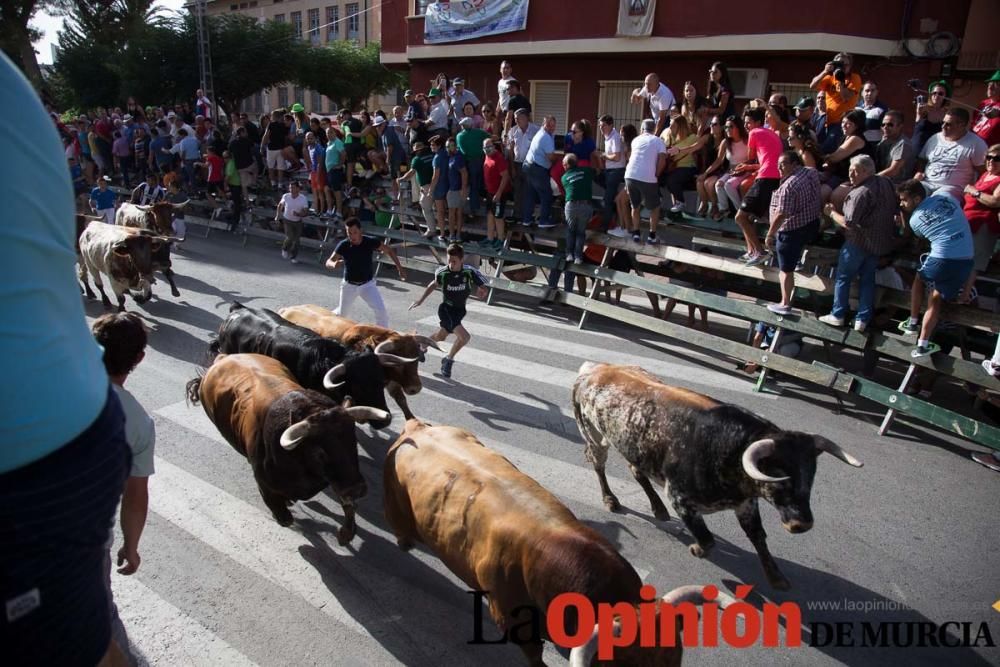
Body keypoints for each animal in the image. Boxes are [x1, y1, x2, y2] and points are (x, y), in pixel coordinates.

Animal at [280, 306, 440, 420]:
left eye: (416, 358)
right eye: (398, 362)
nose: (416, 388)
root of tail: (287, 309)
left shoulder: (391, 382)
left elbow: (401, 399)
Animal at [378, 420, 732, 664]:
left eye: (675, 658)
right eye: (628, 664)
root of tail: (417, 428)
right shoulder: (513, 623)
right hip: (393, 499)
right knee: (399, 523)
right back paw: (405, 541)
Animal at [576, 366, 864, 588]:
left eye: (811, 475)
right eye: (780, 477)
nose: (801, 524)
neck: (730, 449)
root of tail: (593, 369)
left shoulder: (746, 504)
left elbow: (758, 536)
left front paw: (776, 577)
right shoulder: (681, 499)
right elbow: (707, 539)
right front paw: (697, 549)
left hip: (632, 446)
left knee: (636, 470)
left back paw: (658, 508)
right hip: (594, 436)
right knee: (599, 466)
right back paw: (610, 499)